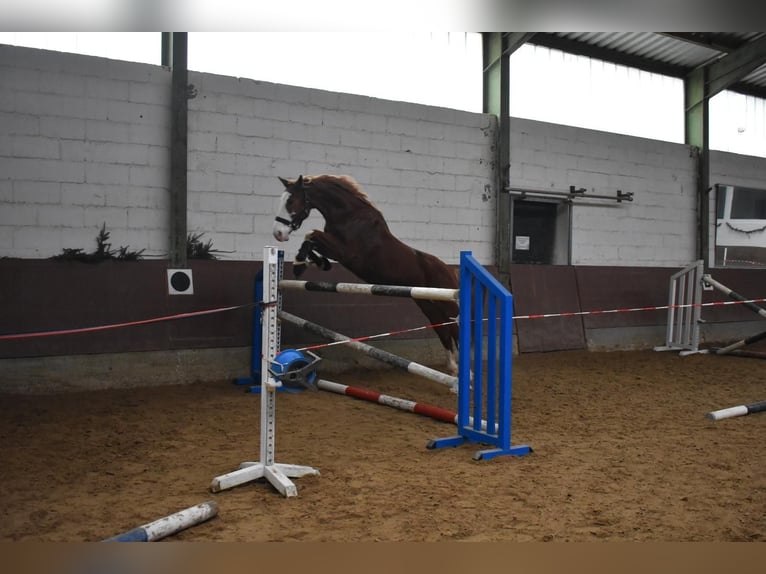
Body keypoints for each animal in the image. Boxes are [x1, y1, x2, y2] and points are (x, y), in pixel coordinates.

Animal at [272, 174, 460, 375]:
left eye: (291, 201)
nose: (278, 233)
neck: (349, 215)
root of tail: (450, 270)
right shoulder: (336, 250)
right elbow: (313, 241)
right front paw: (311, 263)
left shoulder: (346, 253)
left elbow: (311, 234)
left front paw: (300, 264)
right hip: (427, 304)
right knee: (443, 329)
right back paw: (453, 368)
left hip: (447, 304)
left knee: (455, 327)